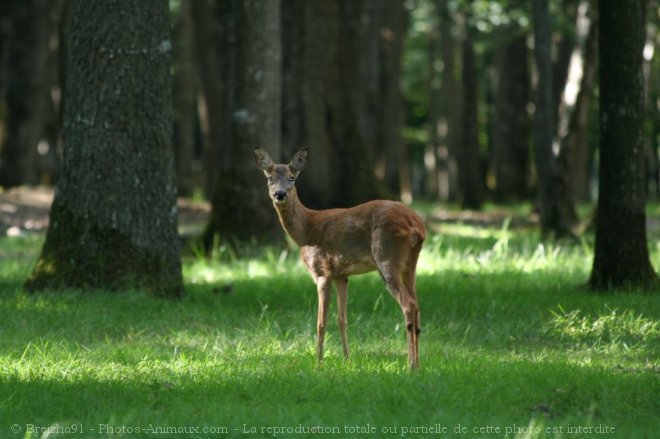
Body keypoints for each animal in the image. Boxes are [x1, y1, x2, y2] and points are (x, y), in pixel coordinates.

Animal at [253, 148, 428, 372]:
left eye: (292, 178)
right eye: (270, 178)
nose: (280, 194)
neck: (306, 231)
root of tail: (416, 225)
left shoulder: (322, 271)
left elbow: (321, 322)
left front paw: (318, 364)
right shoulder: (341, 275)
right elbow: (342, 319)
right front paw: (347, 361)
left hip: (387, 257)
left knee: (408, 305)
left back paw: (411, 366)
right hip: (410, 265)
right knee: (418, 306)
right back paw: (419, 364)